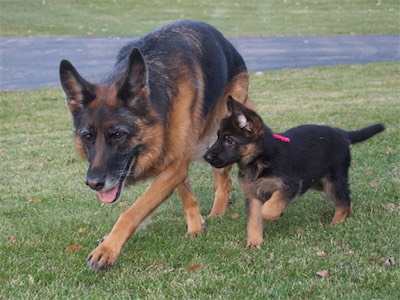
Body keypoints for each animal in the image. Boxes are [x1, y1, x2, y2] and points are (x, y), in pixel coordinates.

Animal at [58, 21, 253, 270]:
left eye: (118, 135)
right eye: (87, 136)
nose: (94, 184)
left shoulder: (176, 165)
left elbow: (132, 212)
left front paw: (107, 249)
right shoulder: (175, 164)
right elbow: (186, 196)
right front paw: (196, 225)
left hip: (217, 138)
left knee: (223, 181)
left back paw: (218, 211)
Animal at [205, 97, 386, 247]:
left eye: (229, 140)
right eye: (218, 137)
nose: (206, 157)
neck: (260, 158)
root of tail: (342, 133)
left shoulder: (290, 185)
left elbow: (268, 208)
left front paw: (275, 215)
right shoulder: (254, 196)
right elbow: (254, 221)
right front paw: (254, 243)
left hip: (332, 182)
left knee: (344, 201)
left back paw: (337, 222)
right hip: (317, 181)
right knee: (346, 197)